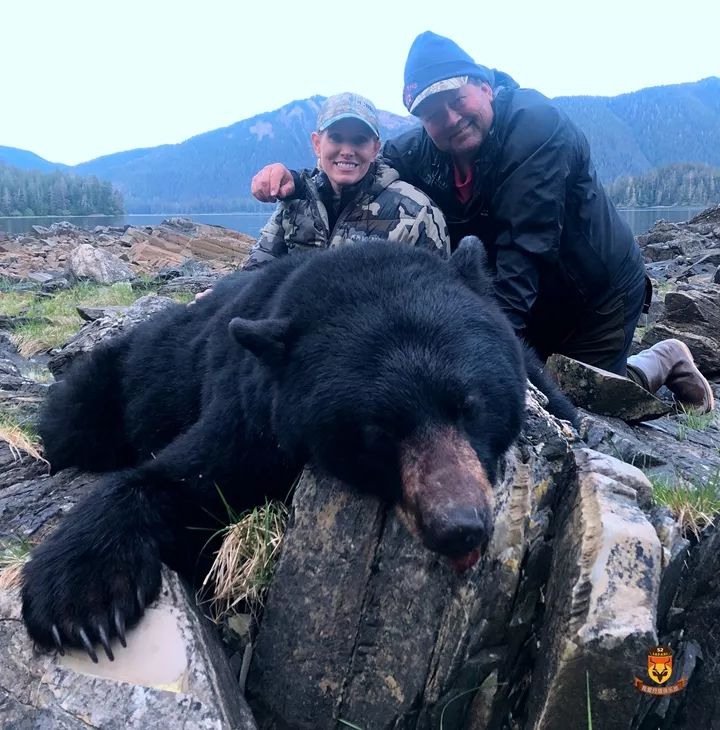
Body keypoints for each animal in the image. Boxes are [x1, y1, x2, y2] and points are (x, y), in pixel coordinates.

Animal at [21, 239, 572, 660]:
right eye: (378, 431)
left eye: (468, 406)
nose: (458, 526)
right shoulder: (254, 414)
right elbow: (181, 477)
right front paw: (77, 596)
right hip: (111, 381)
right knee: (73, 421)